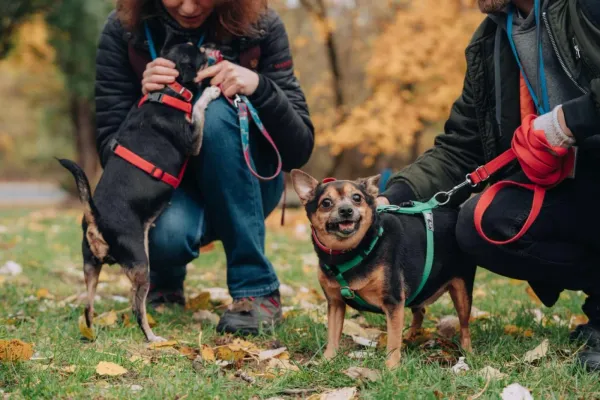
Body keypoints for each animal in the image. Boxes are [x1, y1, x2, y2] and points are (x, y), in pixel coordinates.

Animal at [58, 43, 221, 344]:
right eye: (198, 52)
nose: (209, 46)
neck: (167, 92)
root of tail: (96, 219)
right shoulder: (192, 139)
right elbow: (199, 108)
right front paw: (210, 92)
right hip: (141, 265)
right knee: (137, 307)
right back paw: (152, 337)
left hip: (90, 267)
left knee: (88, 307)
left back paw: (92, 335)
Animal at [292, 170, 478, 368]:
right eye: (326, 203)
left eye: (357, 198)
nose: (346, 210)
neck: (352, 251)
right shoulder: (335, 304)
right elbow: (333, 335)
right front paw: (327, 359)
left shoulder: (393, 302)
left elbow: (393, 340)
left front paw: (391, 367)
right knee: (420, 311)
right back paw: (411, 337)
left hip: (461, 291)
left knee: (464, 325)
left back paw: (467, 351)